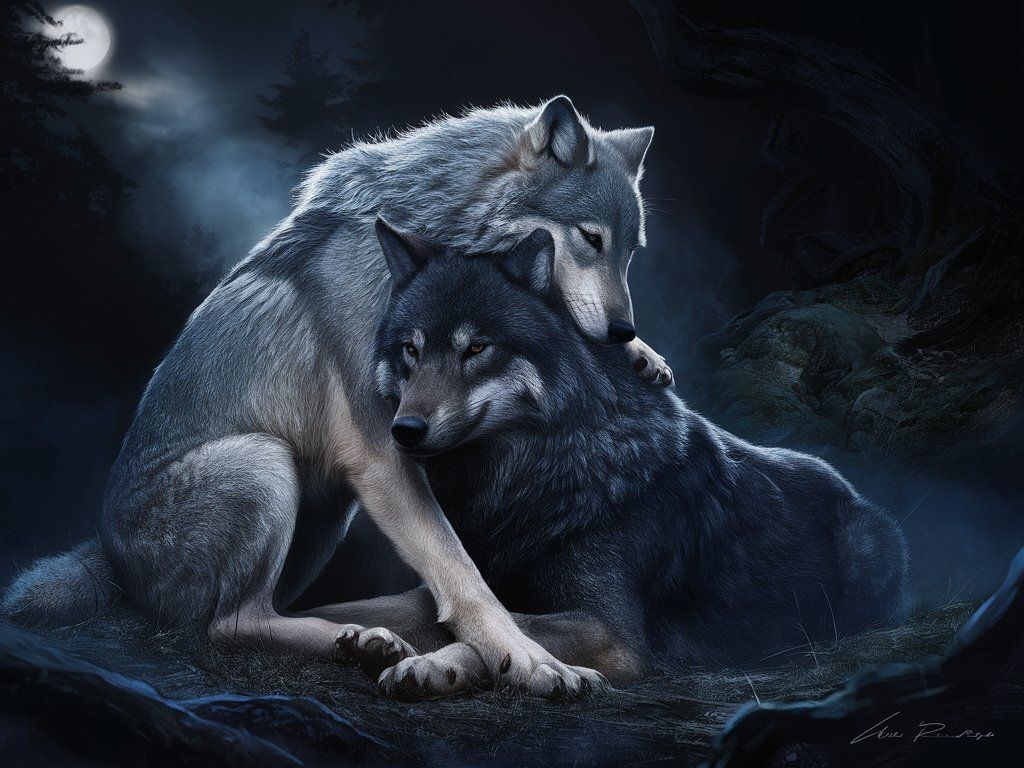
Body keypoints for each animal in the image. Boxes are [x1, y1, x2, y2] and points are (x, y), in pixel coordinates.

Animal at [3, 97, 665, 696]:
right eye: (591, 239)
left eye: (632, 251)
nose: (622, 329)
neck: (439, 230)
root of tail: (108, 556)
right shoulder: (384, 449)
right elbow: (463, 574)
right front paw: (532, 662)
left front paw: (645, 357)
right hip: (263, 461)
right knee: (226, 625)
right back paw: (357, 642)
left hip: (323, 511)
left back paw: (365, 639)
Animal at [339, 222, 908, 697]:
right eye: (411, 350)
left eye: (477, 348)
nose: (404, 431)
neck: (528, 482)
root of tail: (853, 491)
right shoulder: (455, 583)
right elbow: (420, 609)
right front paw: (378, 639)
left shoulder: (610, 629)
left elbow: (510, 631)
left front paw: (432, 664)